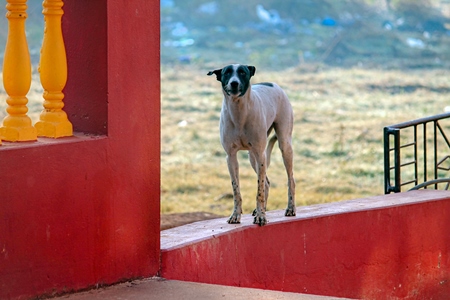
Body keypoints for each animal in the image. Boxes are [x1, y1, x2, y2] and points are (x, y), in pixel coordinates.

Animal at [207, 64, 296, 226]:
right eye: (227, 73)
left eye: (243, 72)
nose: (234, 83)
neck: (239, 113)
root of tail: (273, 84)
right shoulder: (231, 157)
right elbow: (236, 190)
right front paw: (236, 215)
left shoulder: (261, 154)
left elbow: (259, 191)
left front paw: (261, 216)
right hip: (252, 157)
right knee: (266, 182)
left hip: (283, 146)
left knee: (290, 179)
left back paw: (290, 208)